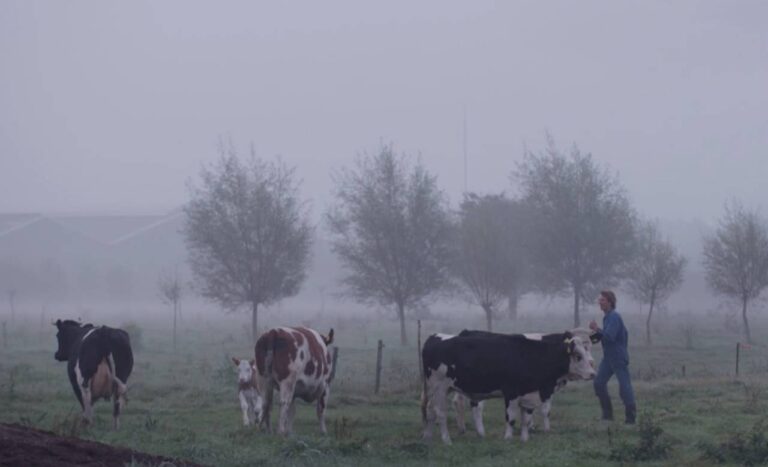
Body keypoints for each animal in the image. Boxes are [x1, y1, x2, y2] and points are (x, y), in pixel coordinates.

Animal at [420, 330, 592, 444]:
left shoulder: (529, 394)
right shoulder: (511, 393)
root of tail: (434, 337)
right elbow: (511, 419)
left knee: (430, 410)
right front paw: (508, 439)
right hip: (440, 388)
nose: (593, 373)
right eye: (578, 356)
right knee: (440, 413)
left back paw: (428, 437)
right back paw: (446, 440)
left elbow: (526, 419)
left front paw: (524, 439)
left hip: (437, 389)